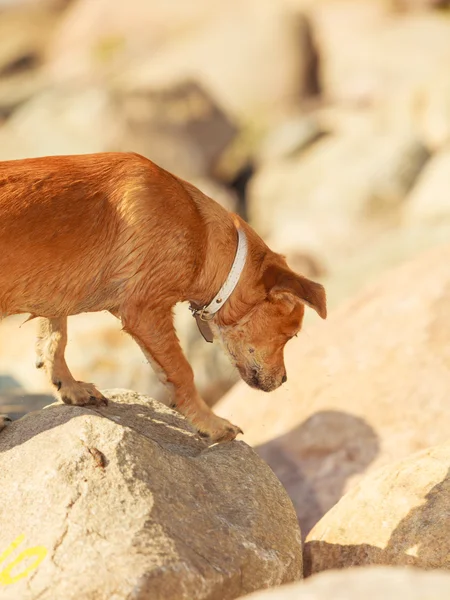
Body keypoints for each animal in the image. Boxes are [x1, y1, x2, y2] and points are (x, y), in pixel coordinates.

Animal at [0, 152, 326, 442]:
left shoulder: (59, 291)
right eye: (292, 336)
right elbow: (182, 371)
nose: (284, 380)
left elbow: (55, 340)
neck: (201, 234)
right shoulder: (144, 311)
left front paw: (69, 387)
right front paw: (212, 424)